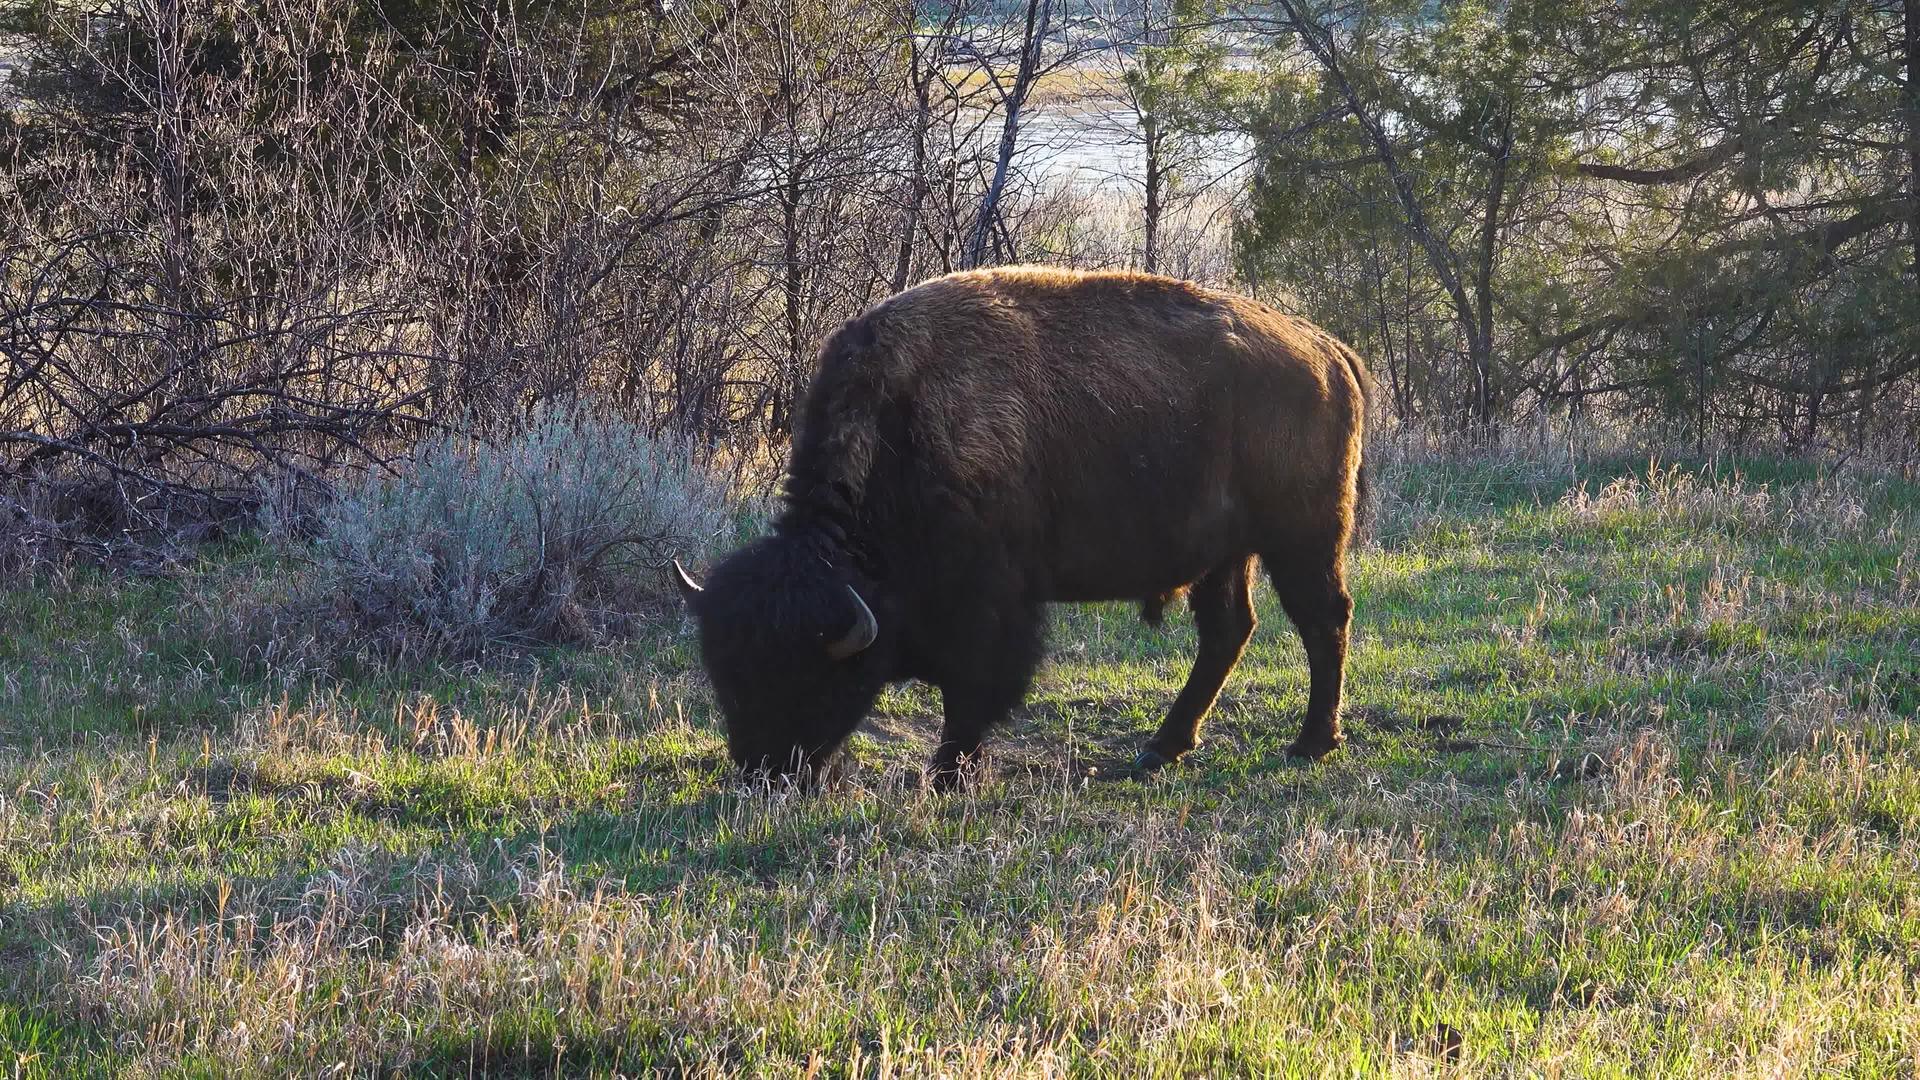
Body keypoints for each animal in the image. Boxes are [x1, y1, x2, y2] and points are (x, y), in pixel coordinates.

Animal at [675, 263, 1367, 780]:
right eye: (726, 675)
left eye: (808, 679)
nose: (765, 772)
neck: (903, 426)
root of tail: (1328, 350)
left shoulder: (991, 604)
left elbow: (973, 691)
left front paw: (946, 774)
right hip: (1227, 554)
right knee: (1229, 631)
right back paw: (1160, 747)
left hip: (1302, 537)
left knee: (1322, 618)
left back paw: (1310, 743)